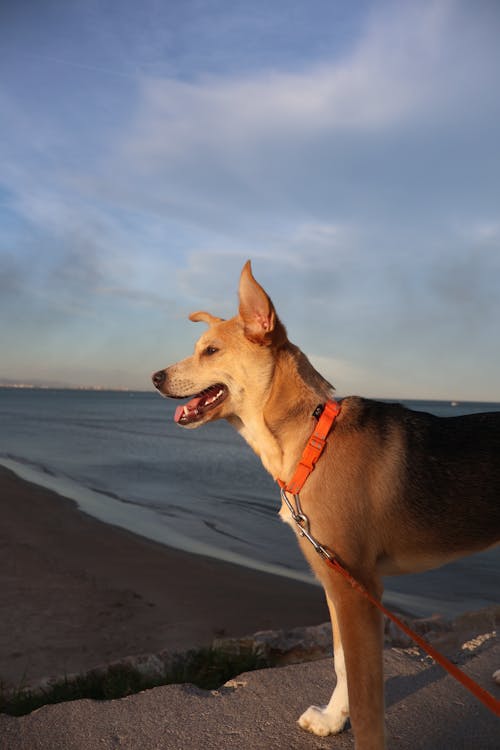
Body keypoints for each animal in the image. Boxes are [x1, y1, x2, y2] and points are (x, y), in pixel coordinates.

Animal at [152, 262, 500, 748]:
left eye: (211, 351)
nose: (155, 377)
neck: (310, 437)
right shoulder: (336, 582)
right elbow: (341, 666)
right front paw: (334, 719)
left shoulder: (360, 591)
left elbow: (367, 696)